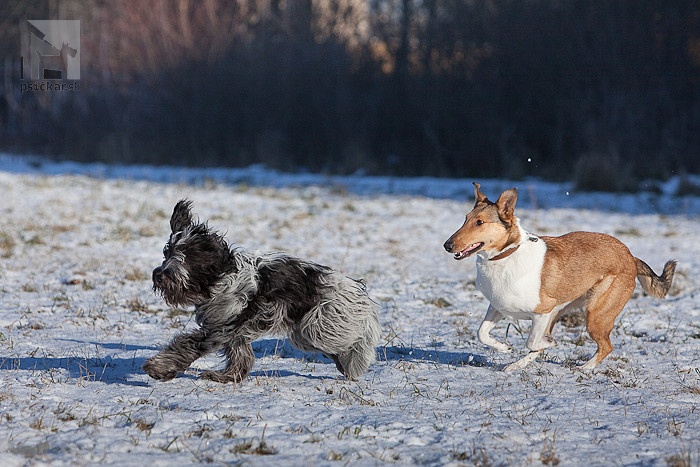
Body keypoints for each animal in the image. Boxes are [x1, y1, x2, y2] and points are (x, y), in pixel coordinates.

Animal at [144, 199, 382, 386]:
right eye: (168, 253)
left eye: (188, 255)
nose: (160, 274)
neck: (219, 279)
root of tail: (355, 287)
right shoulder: (234, 329)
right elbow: (241, 356)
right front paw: (226, 377)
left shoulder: (222, 327)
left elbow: (188, 346)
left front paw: (158, 367)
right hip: (308, 331)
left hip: (319, 326)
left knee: (355, 341)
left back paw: (356, 361)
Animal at [442, 185, 680, 372]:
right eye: (465, 219)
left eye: (480, 222)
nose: (447, 245)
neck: (506, 255)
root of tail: (631, 256)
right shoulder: (498, 306)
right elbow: (481, 333)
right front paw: (505, 348)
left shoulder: (543, 311)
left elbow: (532, 342)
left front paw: (548, 344)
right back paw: (514, 366)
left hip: (595, 314)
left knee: (606, 346)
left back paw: (584, 368)